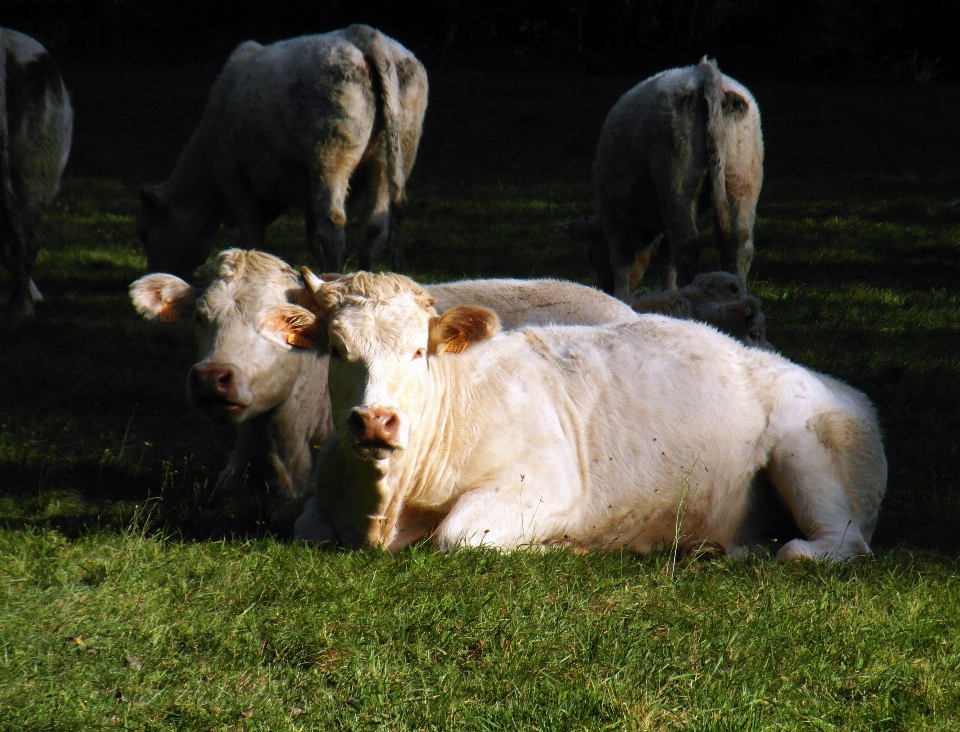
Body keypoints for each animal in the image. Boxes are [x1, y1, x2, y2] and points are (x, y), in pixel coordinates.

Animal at [136, 23, 428, 280]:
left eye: (145, 234)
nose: (152, 275)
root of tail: (364, 34)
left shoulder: (234, 176)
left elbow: (253, 235)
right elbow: (311, 235)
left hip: (331, 156)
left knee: (333, 225)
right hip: (393, 155)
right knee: (374, 226)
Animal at [290, 268, 884, 560]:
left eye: (418, 351)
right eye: (338, 349)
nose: (375, 420)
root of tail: (844, 389)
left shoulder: (546, 486)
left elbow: (457, 536)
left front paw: (556, 547)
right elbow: (307, 529)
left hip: (807, 448)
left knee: (834, 545)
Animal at [588, 56, 760, 304]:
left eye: (592, 256)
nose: (605, 288)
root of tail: (706, 73)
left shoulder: (611, 209)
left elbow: (622, 259)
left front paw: (621, 297)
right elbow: (666, 260)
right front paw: (668, 291)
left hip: (676, 176)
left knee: (687, 245)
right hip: (743, 175)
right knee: (740, 242)